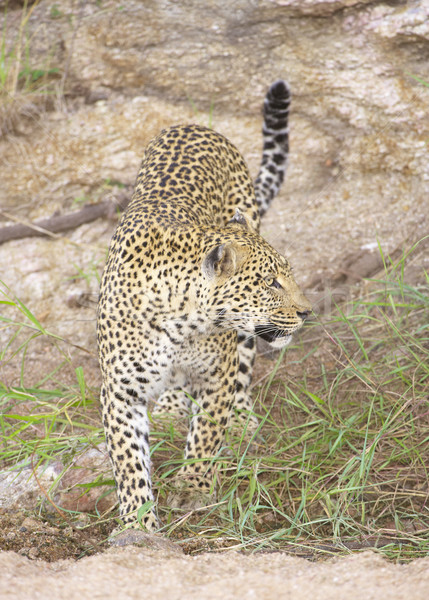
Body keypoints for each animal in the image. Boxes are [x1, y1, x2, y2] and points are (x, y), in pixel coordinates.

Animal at [97, 81, 310, 528]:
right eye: (271, 282)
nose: (307, 312)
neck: (180, 324)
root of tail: (196, 125)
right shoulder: (120, 391)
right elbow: (128, 460)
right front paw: (138, 521)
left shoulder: (218, 373)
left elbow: (209, 430)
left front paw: (194, 485)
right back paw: (171, 407)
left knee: (244, 366)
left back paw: (243, 419)